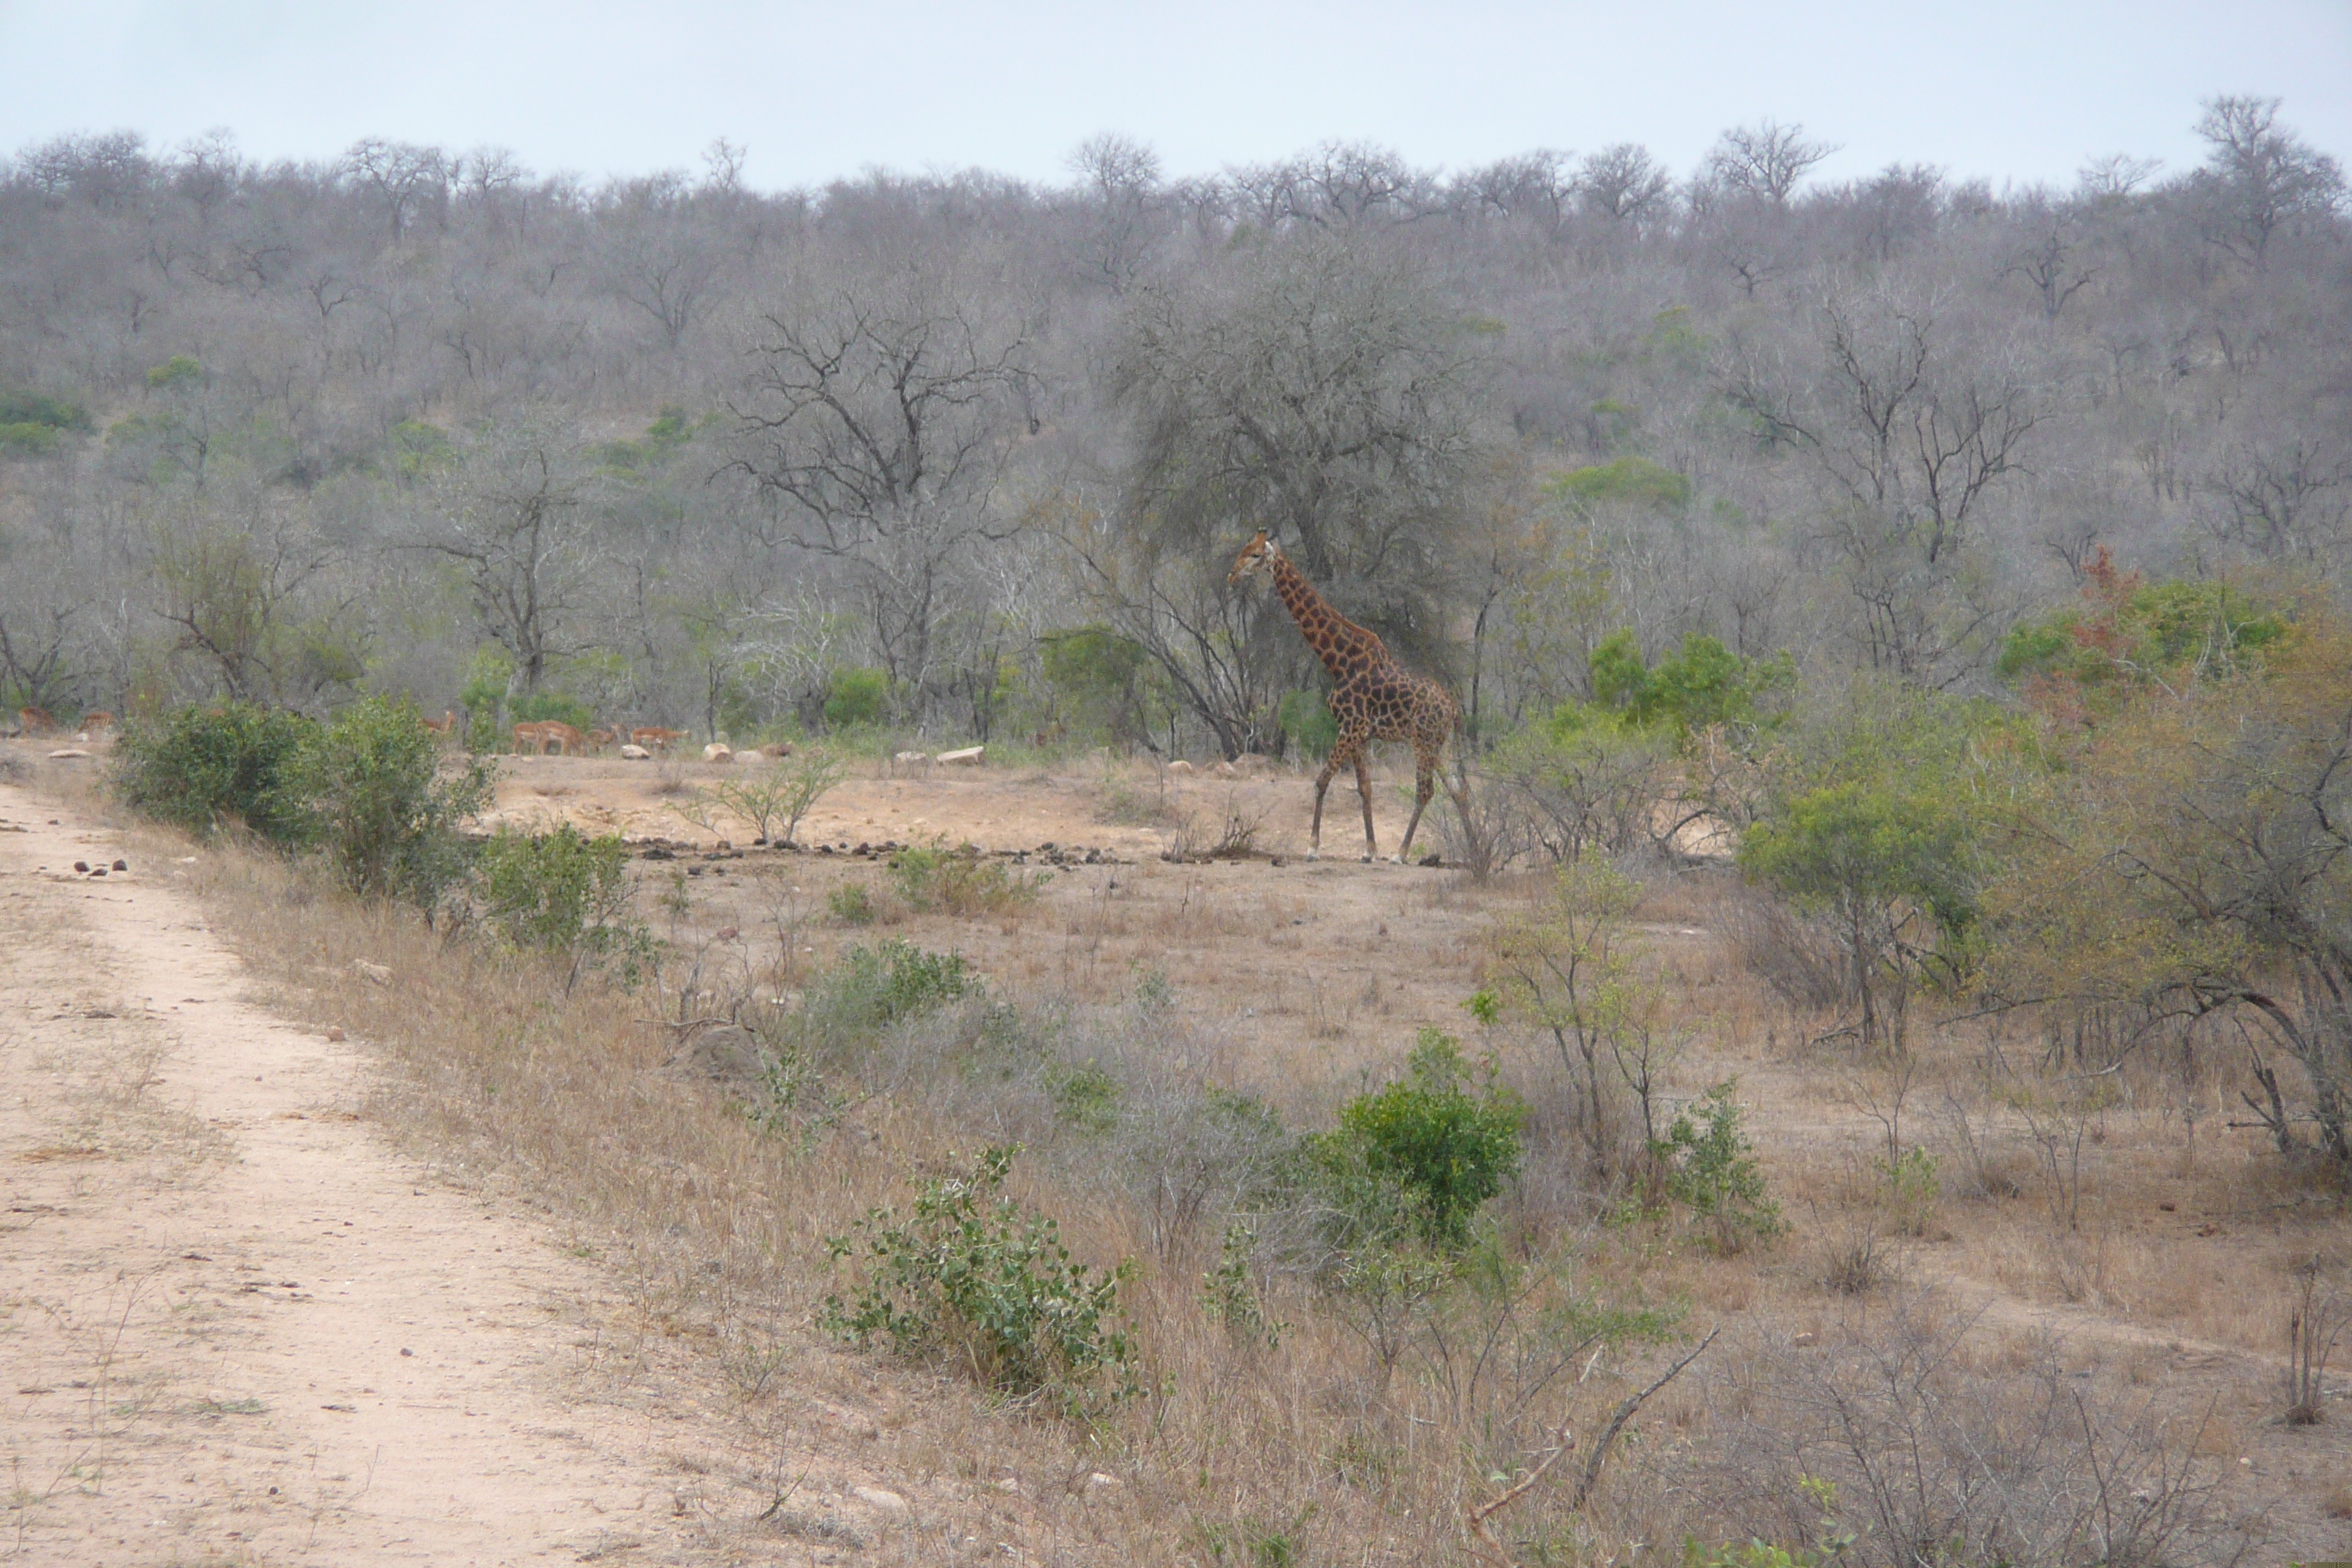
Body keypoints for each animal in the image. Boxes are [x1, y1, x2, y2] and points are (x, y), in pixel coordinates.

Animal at [1242, 533, 1458, 864]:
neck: (1339, 661)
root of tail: (1452, 709)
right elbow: (1364, 787)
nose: (1233, 572)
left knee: (1425, 790)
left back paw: (1401, 853)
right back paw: (1473, 851)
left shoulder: (1350, 726)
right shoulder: (1358, 733)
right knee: (1461, 791)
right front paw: (1369, 850)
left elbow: (1321, 781)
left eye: (1254, 554)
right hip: (1441, 744)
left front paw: (1312, 847)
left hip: (1422, 740)